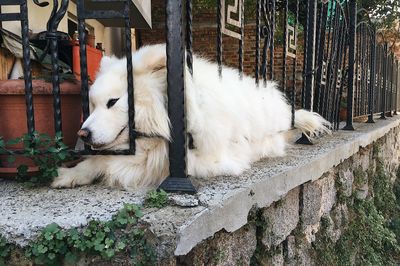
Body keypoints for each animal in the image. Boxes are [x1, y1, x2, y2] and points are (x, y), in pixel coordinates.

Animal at [51, 43, 330, 189]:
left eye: (113, 102)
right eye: (93, 104)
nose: (82, 134)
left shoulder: (197, 160)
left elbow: (115, 163)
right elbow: (100, 160)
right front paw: (68, 175)